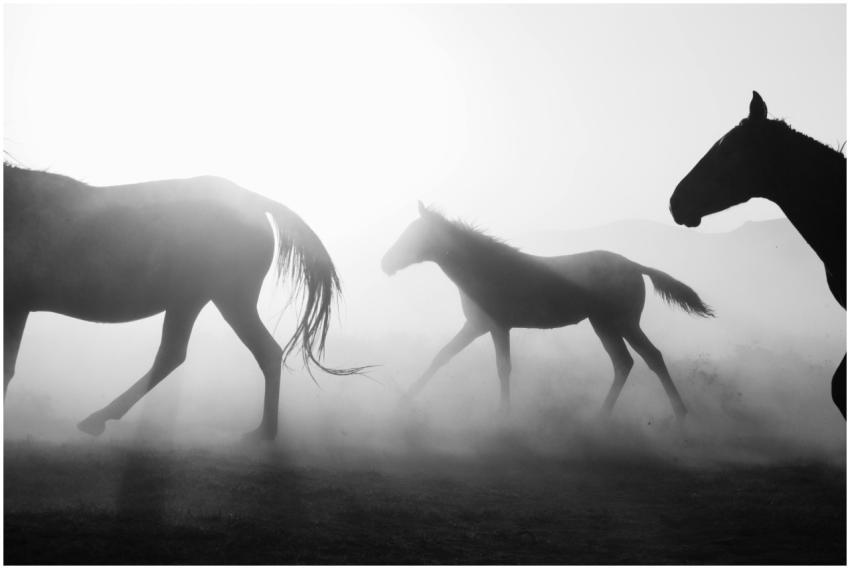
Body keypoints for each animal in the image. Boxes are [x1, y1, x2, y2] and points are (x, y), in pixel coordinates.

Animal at [4, 163, 357, 440]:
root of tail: (251, 200)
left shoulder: (15, 303)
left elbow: (7, 368)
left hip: (222, 297)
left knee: (247, 352)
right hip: (196, 299)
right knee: (182, 355)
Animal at [381, 202, 714, 418]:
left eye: (415, 235)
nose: (385, 263)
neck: (486, 268)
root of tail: (634, 265)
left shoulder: (497, 326)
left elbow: (503, 368)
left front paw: (503, 415)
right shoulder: (476, 326)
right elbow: (442, 356)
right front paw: (403, 401)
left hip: (622, 322)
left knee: (650, 358)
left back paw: (678, 413)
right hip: (604, 324)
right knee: (625, 362)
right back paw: (603, 416)